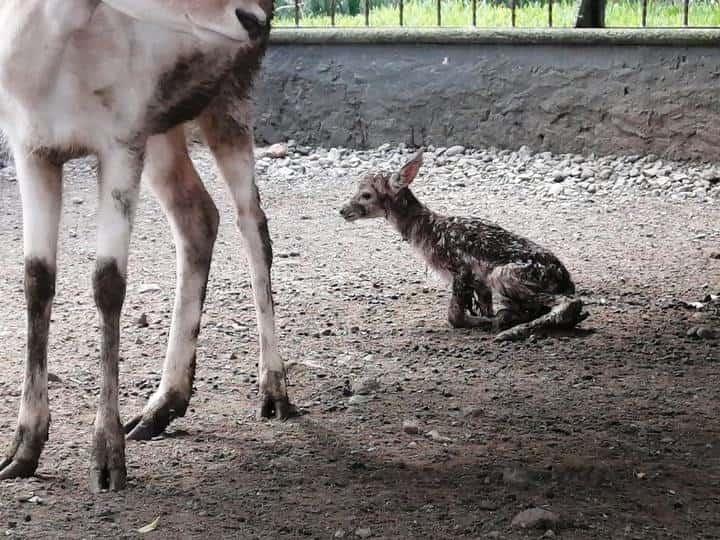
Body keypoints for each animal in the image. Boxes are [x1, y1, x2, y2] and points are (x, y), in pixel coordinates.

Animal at [0, 0, 292, 490]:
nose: (253, 18)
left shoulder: (121, 139)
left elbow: (107, 283)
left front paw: (107, 460)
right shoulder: (31, 146)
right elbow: (36, 279)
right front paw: (20, 454)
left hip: (229, 100)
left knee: (254, 226)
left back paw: (274, 393)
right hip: (161, 127)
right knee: (198, 216)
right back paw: (160, 408)